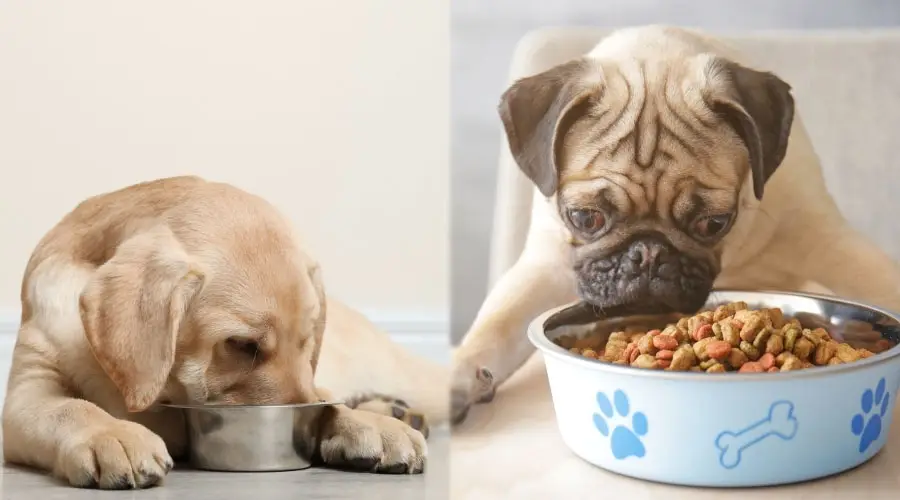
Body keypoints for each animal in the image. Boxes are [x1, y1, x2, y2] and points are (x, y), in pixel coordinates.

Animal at [0, 176, 450, 488]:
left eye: (307, 342)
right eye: (242, 345)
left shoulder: (314, 382)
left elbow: (325, 399)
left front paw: (364, 425)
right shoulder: (28, 391)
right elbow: (72, 408)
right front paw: (113, 434)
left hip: (408, 373)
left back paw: (394, 412)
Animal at [454, 25, 900, 424]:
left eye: (713, 223)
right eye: (585, 217)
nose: (648, 253)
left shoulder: (826, 240)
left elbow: (880, 279)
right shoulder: (547, 265)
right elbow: (497, 323)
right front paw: (458, 376)